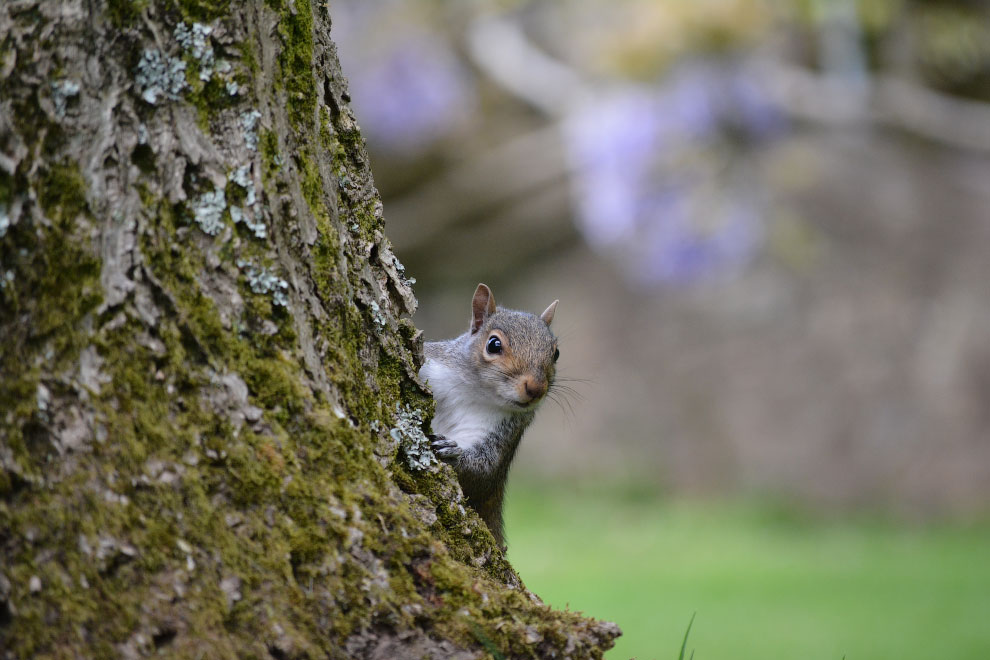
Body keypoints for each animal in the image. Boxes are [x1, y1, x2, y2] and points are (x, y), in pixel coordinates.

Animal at [416, 284, 560, 552]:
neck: (475, 391)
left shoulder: (505, 430)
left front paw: (452, 452)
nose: (536, 388)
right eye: (493, 344)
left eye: (555, 353)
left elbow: (484, 471)